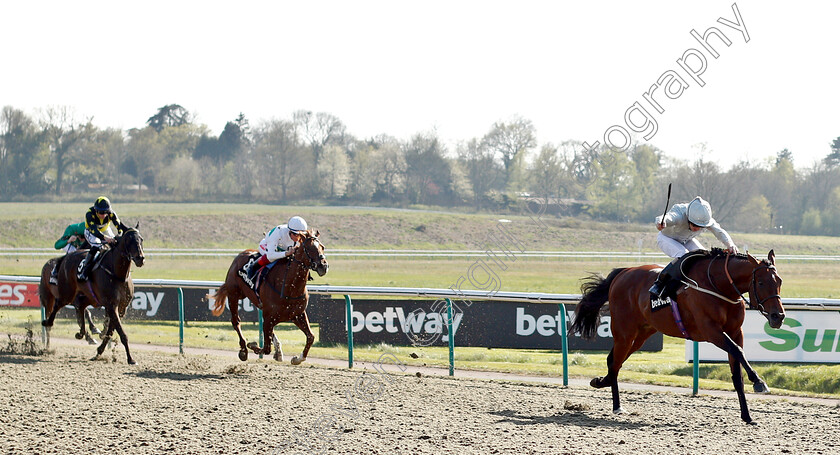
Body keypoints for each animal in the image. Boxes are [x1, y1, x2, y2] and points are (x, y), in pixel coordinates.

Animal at [41, 226, 146, 366]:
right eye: (128, 240)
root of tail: (66, 257)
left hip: (87, 296)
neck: (117, 274)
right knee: (58, 305)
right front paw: (130, 358)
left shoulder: (121, 307)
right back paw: (47, 323)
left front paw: (99, 351)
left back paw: (82, 333)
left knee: (80, 307)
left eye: (141, 239)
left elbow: (110, 330)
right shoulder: (111, 305)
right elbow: (121, 333)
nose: (140, 258)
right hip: (64, 294)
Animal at [210, 230, 328, 366]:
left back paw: (277, 351)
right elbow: (266, 348)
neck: (289, 287)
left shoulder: (297, 315)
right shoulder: (270, 317)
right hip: (234, 294)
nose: (323, 266)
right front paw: (252, 345)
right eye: (309, 248)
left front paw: (297, 358)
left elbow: (311, 337)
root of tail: (240, 255)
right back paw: (244, 349)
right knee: (236, 322)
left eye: (322, 247)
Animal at [568, 249, 784, 424]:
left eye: (779, 282)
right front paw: (759, 382)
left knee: (614, 360)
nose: (778, 316)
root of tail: (623, 272)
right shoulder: (711, 331)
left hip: (641, 334)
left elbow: (737, 372)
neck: (719, 286)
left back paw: (601, 382)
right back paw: (617, 406)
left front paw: (747, 416)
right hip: (624, 332)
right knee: (615, 362)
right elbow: (737, 351)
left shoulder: (735, 332)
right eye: (761, 282)